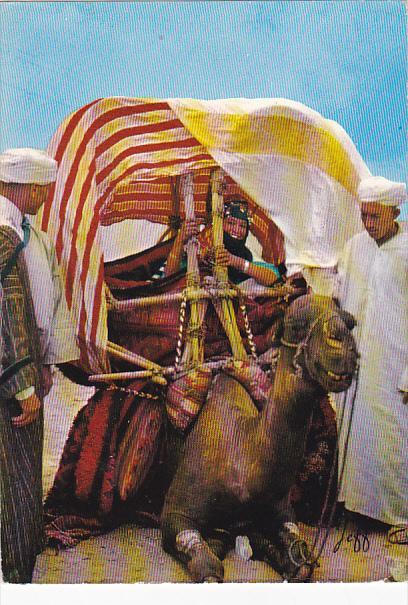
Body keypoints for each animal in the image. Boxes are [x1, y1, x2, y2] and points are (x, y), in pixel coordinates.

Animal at [161, 292, 358, 580]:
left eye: (349, 321)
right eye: (296, 324)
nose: (342, 348)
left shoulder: (279, 510)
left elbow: (299, 561)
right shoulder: (175, 515)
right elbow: (207, 567)